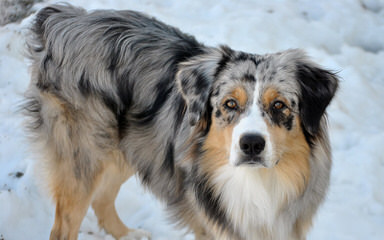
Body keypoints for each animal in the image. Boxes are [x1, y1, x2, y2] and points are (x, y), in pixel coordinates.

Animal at [25, 3, 340, 240]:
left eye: (279, 105)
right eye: (230, 104)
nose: (251, 144)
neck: (256, 184)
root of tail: (64, 17)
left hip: (128, 146)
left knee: (102, 197)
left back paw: (127, 234)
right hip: (84, 156)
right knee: (64, 227)